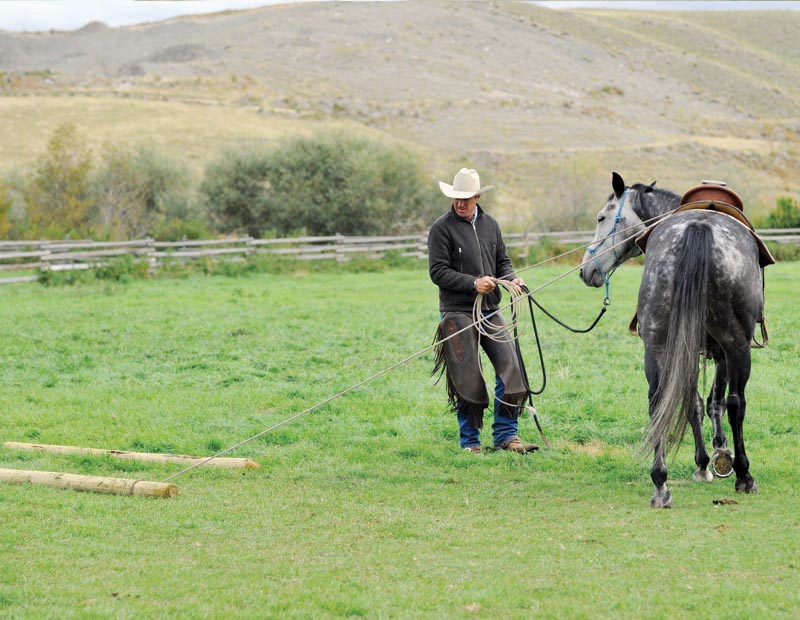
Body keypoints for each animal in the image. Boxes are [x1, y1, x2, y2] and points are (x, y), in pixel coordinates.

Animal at [579, 172, 769, 508]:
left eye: (602, 217)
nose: (586, 270)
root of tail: (699, 226)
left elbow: (695, 403)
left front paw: (704, 463)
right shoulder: (722, 350)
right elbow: (717, 401)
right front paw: (721, 455)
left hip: (657, 343)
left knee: (658, 402)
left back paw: (660, 483)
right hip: (736, 343)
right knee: (737, 403)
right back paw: (745, 475)